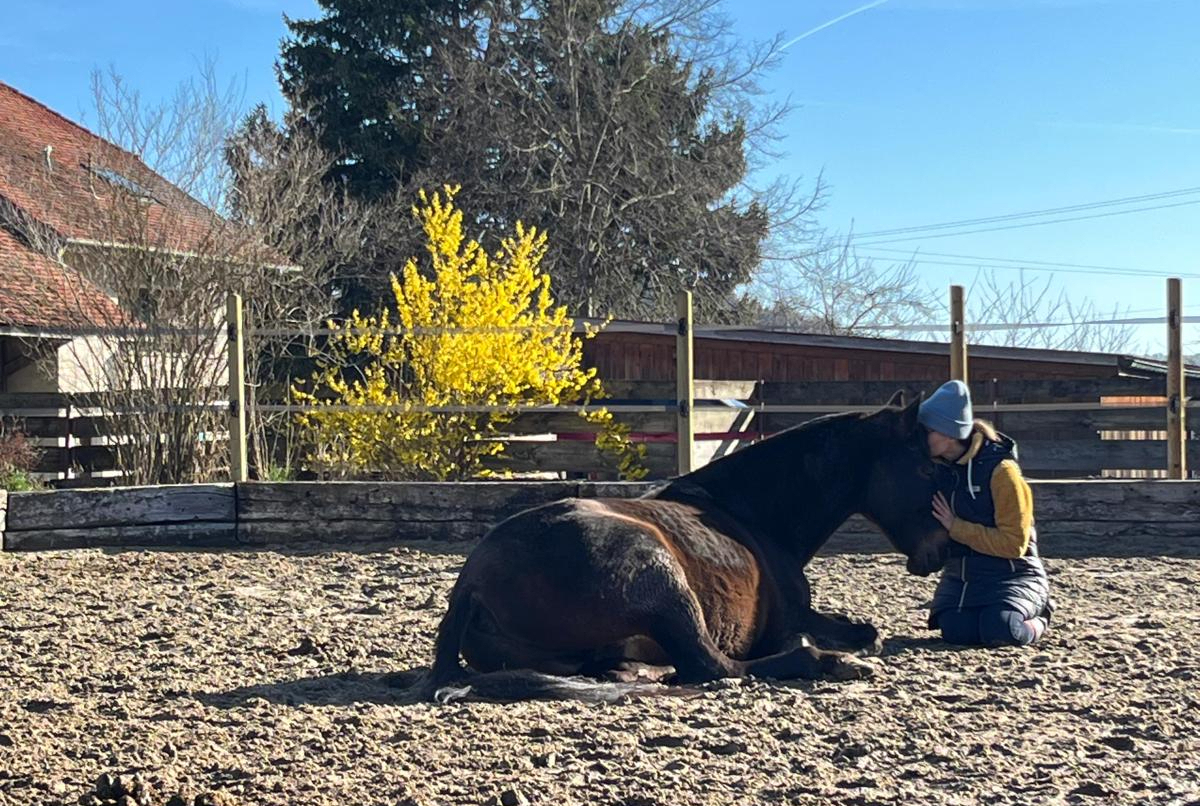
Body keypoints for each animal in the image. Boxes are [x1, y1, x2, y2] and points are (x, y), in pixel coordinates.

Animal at [417, 393, 948, 702]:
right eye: (926, 468)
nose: (943, 549)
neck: (750, 513)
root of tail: (472, 582)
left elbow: (861, 627)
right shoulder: (790, 619)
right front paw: (836, 650)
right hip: (662, 580)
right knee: (714, 666)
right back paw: (826, 663)